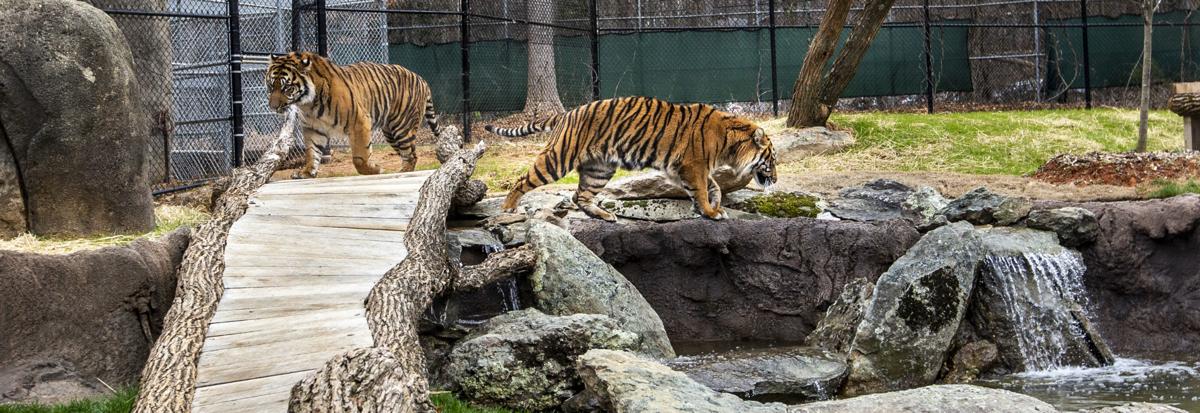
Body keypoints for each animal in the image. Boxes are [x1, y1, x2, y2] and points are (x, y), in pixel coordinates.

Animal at [265, 51, 439, 178]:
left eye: (287, 88)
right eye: (271, 86)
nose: (273, 106)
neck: (309, 104)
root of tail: (421, 78)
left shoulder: (359, 122)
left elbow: (360, 158)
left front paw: (375, 170)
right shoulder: (314, 128)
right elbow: (312, 152)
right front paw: (307, 172)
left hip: (402, 127)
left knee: (411, 155)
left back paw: (402, 173)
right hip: (390, 132)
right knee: (408, 154)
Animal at [484, 96, 777, 221]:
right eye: (772, 159)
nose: (775, 179)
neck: (731, 143)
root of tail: (567, 114)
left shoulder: (683, 168)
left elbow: (712, 186)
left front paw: (715, 206)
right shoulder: (693, 166)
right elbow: (703, 189)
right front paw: (710, 211)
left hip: (599, 169)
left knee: (580, 196)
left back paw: (605, 215)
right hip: (558, 158)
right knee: (522, 180)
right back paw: (507, 208)